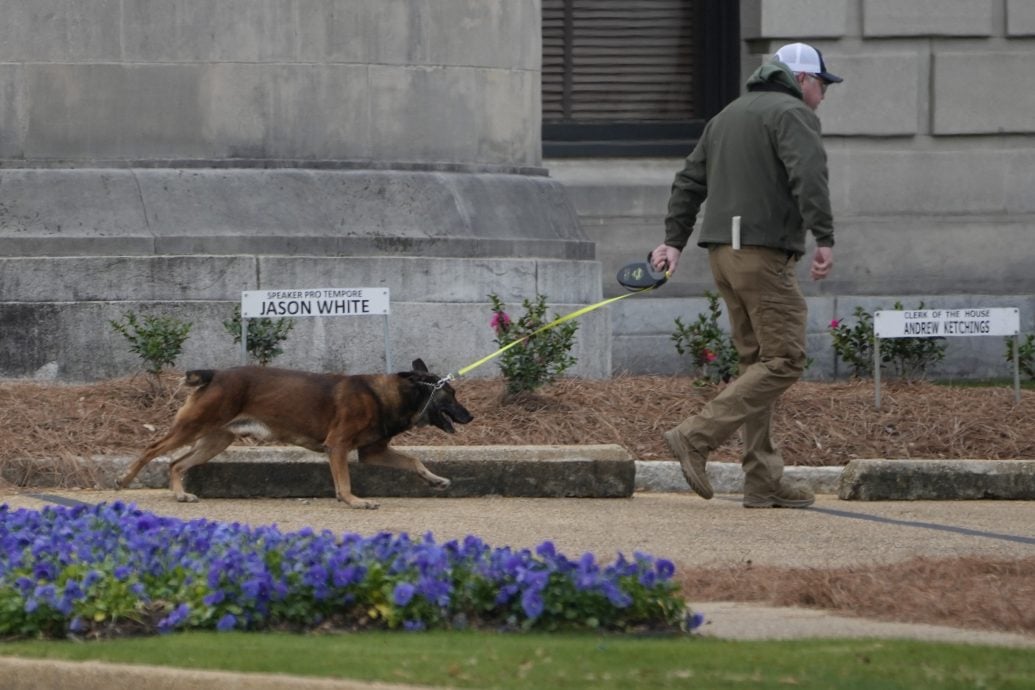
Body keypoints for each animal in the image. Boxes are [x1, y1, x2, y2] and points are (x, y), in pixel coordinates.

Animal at [116, 360, 474, 511]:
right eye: (451, 394)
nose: (470, 416)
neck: (390, 394)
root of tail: (214, 374)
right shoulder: (337, 446)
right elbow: (344, 482)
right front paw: (353, 501)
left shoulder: (372, 452)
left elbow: (413, 460)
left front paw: (435, 480)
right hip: (194, 427)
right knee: (152, 449)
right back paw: (125, 478)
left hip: (216, 440)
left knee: (176, 463)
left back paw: (180, 494)